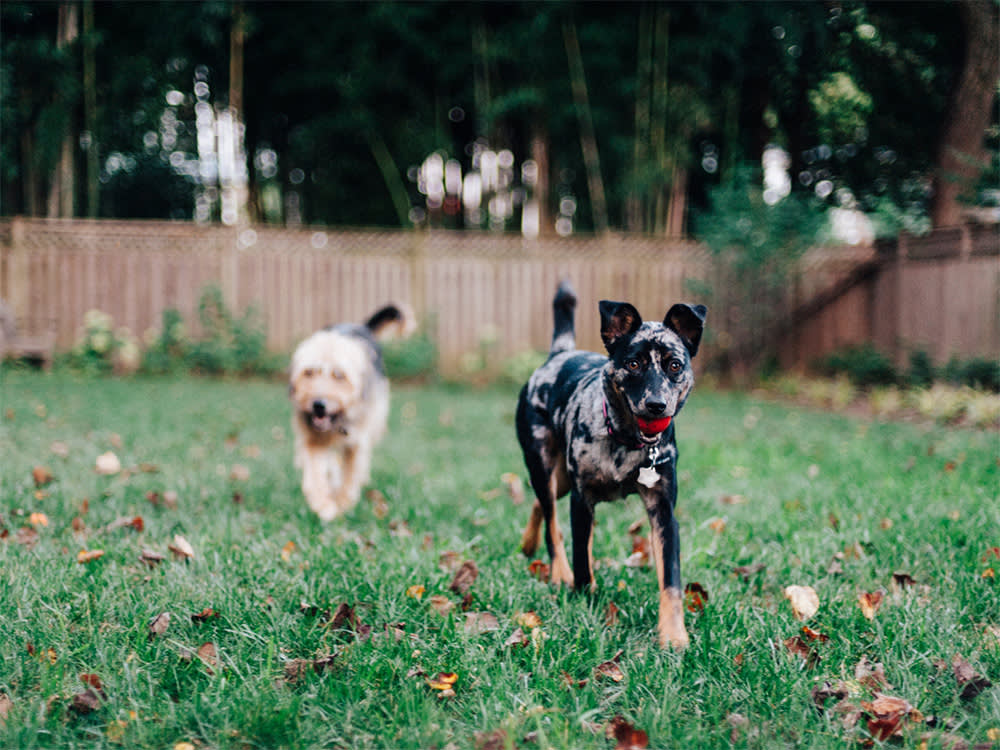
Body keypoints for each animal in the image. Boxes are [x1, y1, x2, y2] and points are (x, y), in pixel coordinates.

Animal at [290, 306, 414, 524]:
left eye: (339, 375)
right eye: (309, 372)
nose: (318, 405)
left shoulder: (356, 442)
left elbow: (350, 475)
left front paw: (342, 503)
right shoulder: (313, 439)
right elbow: (315, 474)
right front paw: (324, 505)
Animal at [520, 280, 708, 648]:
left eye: (675, 365)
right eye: (633, 364)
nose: (656, 405)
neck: (627, 442)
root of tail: (558, 355)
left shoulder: (663, 510)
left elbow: (671, 581)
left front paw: (674, 636)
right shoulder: (582, 500)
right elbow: (582, 556)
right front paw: (584, 596)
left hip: (560, 479)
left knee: (540, 505)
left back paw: (528, 544)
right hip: (544, 465)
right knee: (550, 518)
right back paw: (558, 571)